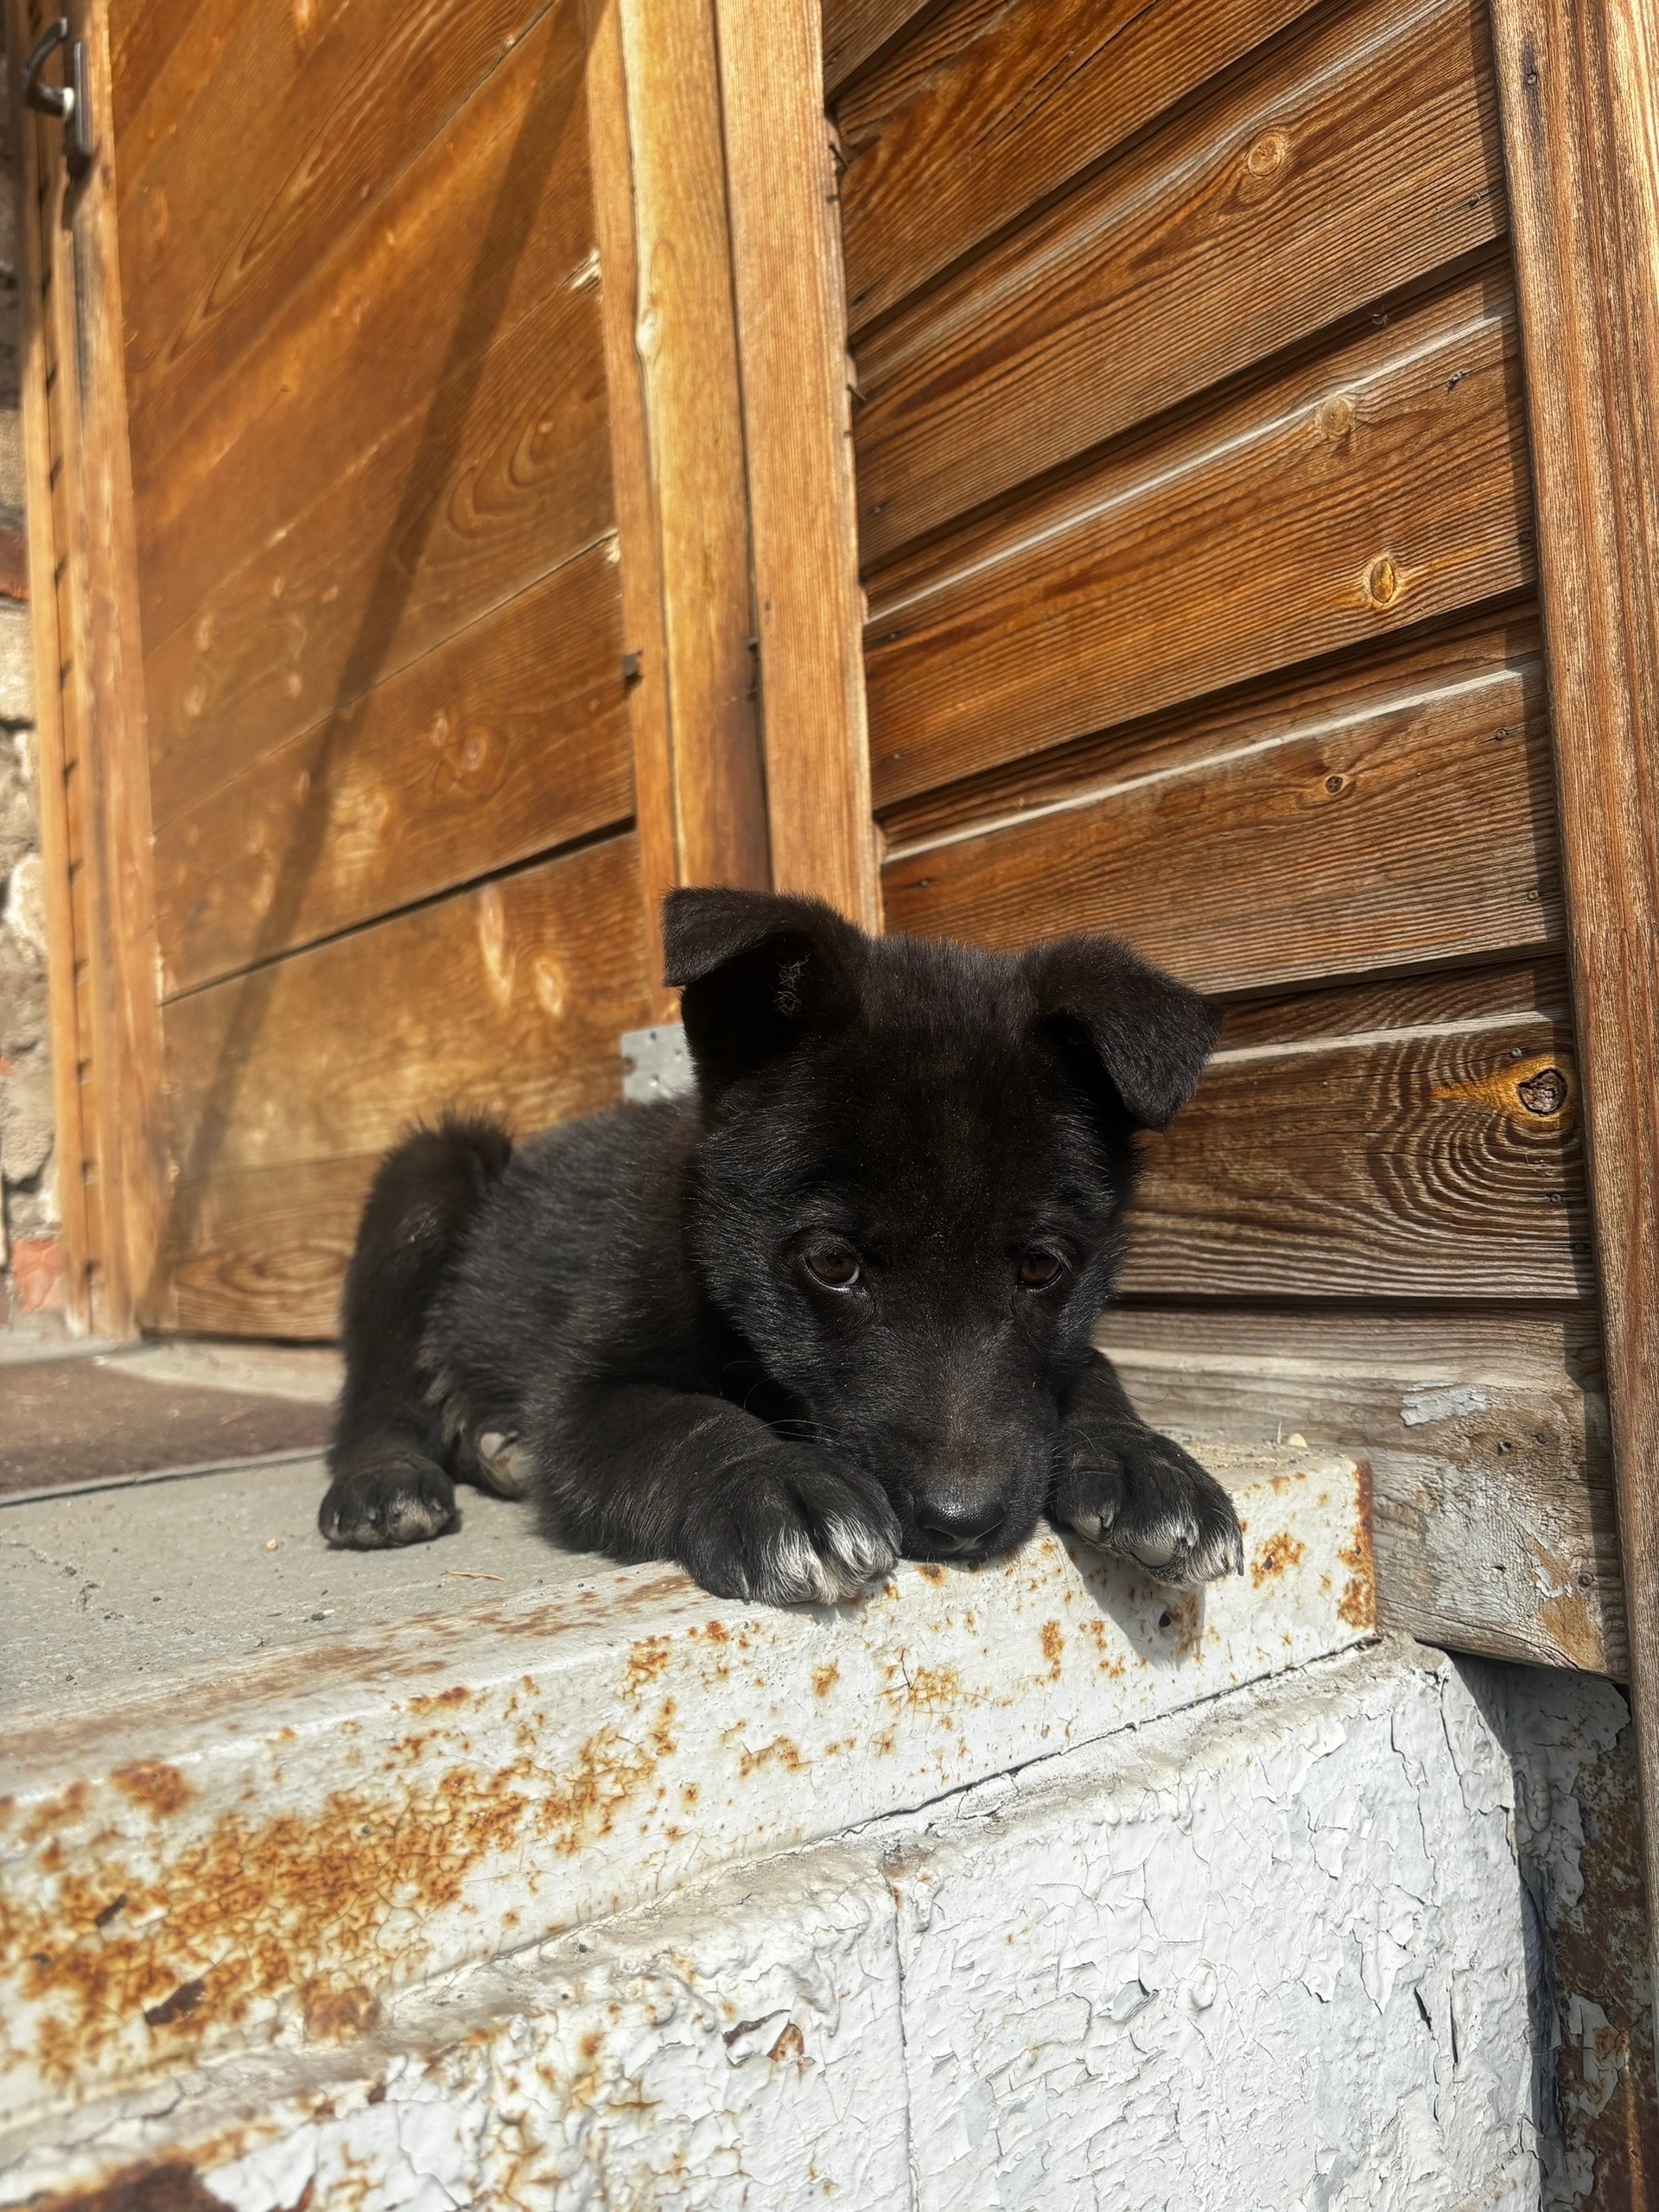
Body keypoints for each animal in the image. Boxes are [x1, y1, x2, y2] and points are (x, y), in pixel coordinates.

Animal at [319, 889, 1244, 1604]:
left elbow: (1090, 1365)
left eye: (1041, 1266)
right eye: (832, 1263)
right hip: (427, 1179)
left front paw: (1142, 1458)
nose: (961, 1524)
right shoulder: (584, 1393)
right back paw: (384, 1478)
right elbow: (689, 1421)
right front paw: (772, 1482)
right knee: (376, 1382)